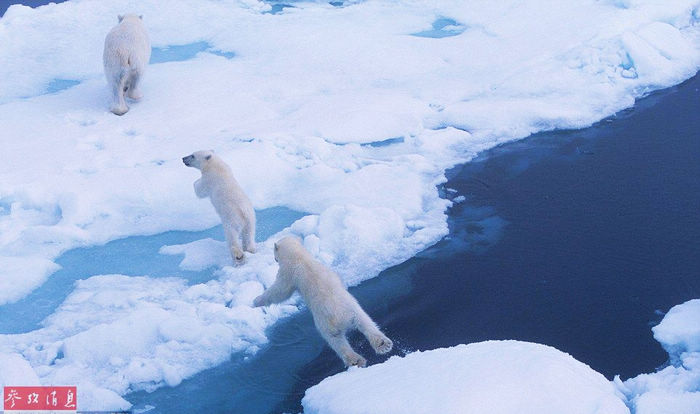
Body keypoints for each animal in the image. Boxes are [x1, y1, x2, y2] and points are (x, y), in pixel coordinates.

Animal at [253, 234, 394, 368]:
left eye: (274, 253)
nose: (275, 259)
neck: (300, 258)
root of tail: (340, 317)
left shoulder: (287, 273)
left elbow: (280, 291)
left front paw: (256, 301)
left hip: (324, 323)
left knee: (336, 342)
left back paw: (356, 360)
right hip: (353, 311)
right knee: (365, 324)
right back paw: (379, 346)